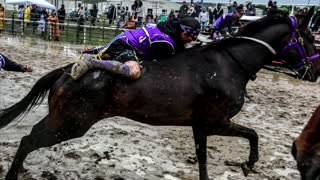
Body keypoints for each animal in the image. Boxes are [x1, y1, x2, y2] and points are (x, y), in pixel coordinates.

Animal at [1, 7, 320, 179]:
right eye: (308, 38)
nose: (314, 72)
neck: (228, 64)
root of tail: (68, 70)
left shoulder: (201, 126)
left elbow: (203, 159)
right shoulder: (216, 122)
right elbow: (253, 134)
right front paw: (248, 163)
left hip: (66, 121)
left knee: (30, 138)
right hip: (71, 123)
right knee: (29, 140)